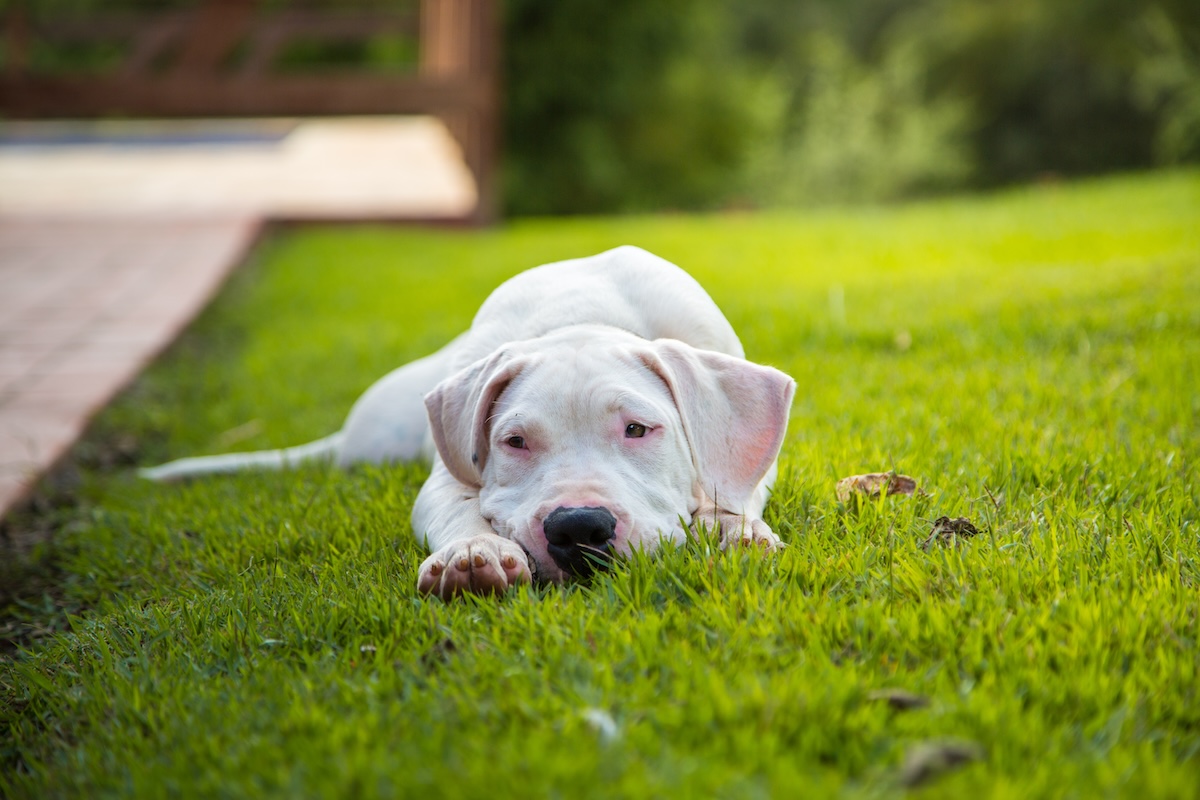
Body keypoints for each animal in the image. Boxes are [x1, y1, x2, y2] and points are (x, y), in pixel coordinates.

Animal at [142, 247, 796, 597]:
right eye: (515, 441)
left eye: (638, 429)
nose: (578, 527)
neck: (586, 317)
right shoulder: (444, 480)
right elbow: (457, 508)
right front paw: (472, 553)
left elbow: (736, 488)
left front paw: (731, 531)